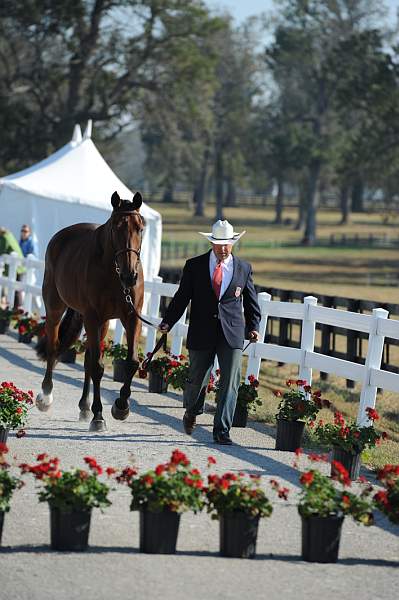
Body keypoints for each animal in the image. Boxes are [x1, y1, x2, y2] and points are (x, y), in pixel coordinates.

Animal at [36, 190, 145, 428]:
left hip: (101, 323)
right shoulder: (93, 317)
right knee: (53, 347)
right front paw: (99, 416)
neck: (114, 274)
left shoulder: (131, 318)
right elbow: (97, 367)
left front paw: (121, 406)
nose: (130, 276)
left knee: (86, 359)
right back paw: (46, 396)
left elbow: (130, 362)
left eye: (140, 227)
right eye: (116, 227)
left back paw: (84, 407)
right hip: (56, 308)